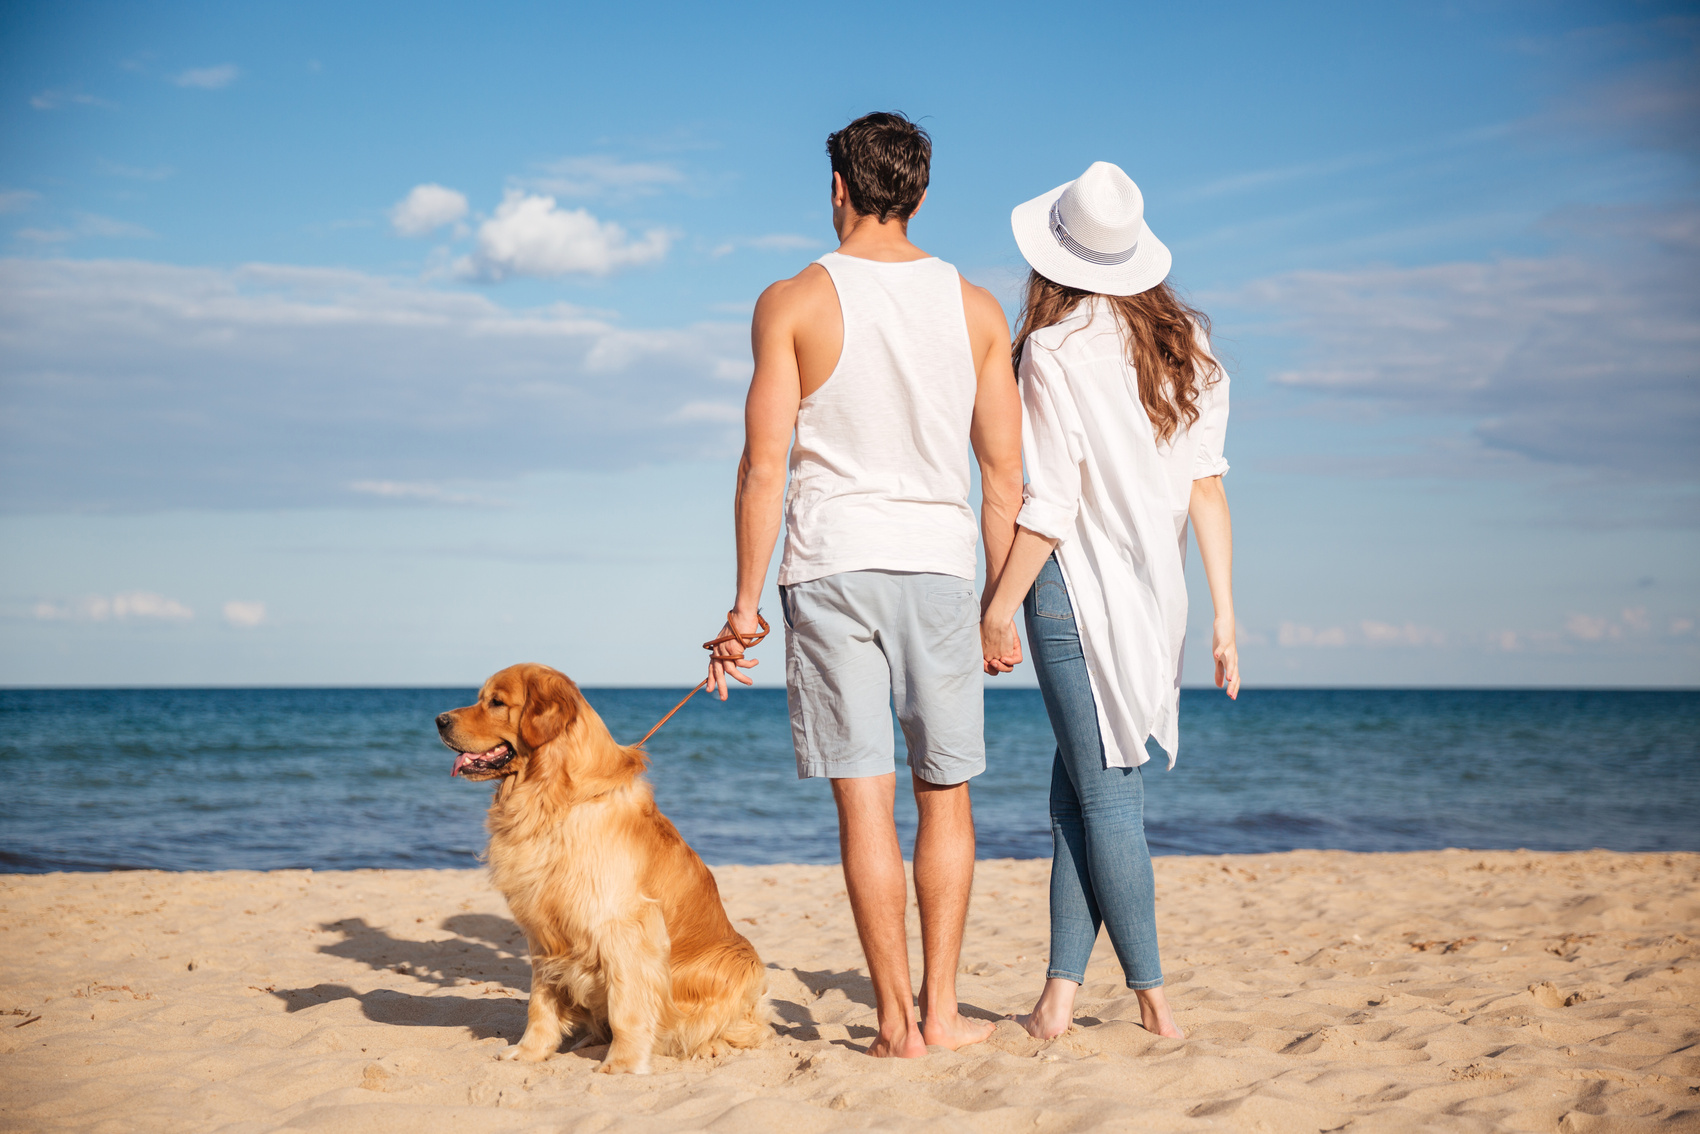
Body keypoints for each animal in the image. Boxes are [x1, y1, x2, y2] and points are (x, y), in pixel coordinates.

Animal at [435, 659, 768, 1081]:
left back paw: (707, 1046)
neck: (553, 800)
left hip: (738, 961)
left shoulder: (626, 925)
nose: (439, 720)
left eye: (496, 702)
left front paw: (623, 1064)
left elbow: (627, 1004)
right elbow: (540, 1001)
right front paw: (529, 1052)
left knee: (745, 1029)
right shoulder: (543, 929)